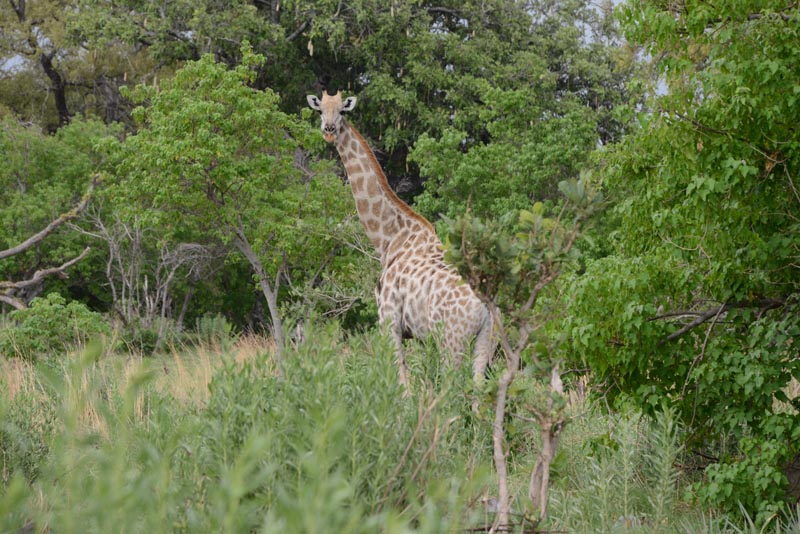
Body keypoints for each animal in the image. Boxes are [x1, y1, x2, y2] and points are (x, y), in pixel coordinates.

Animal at [307, 90, 494, 388]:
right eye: (320, 110)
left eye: (342, 111)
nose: (329, 130)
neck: (389, 238)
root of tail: (484, 308)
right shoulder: (414, 333)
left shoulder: (389, 321)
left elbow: (402, 382)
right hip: (484, 341)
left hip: (451, 340)